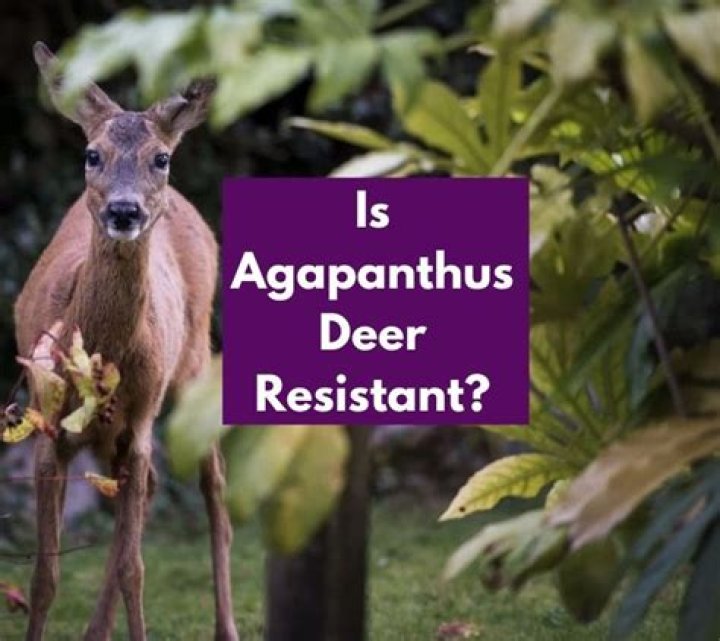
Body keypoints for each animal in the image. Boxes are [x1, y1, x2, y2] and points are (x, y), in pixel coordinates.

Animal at [13, 42, 239, 641]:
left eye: (160, 158)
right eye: (92, 153)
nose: (123, 210)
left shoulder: (140, 417)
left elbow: (135, 567)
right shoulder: (47, 424)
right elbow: (45, 574)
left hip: (191, 363)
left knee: (214, 485)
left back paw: (226, 626)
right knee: (150, 489)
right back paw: (96, 631)